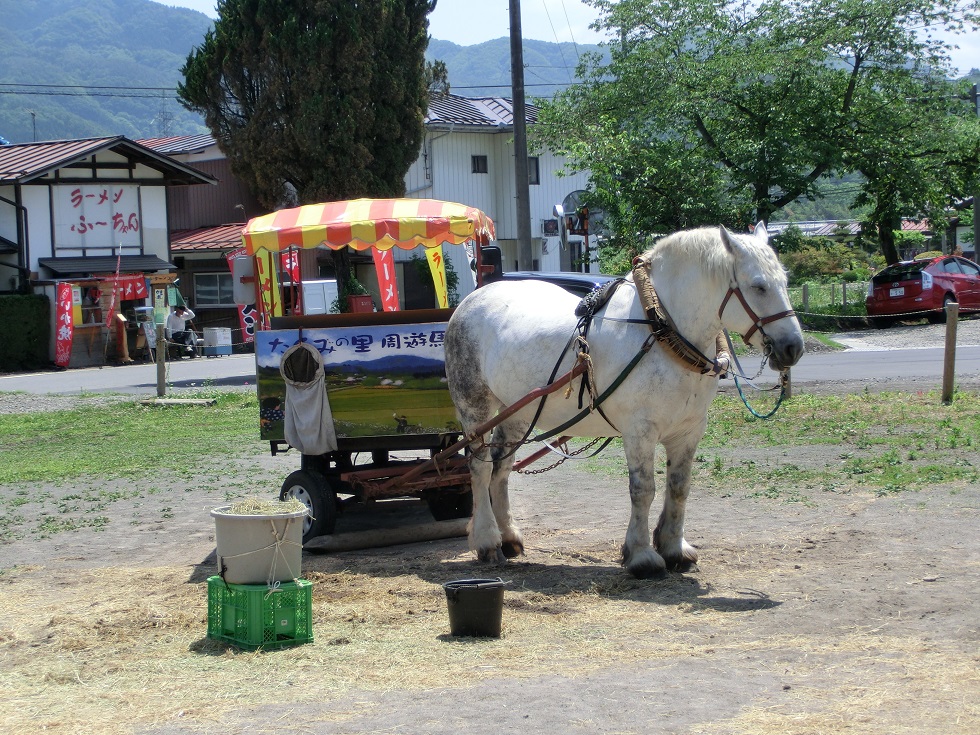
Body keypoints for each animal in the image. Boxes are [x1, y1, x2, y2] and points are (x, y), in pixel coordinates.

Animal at [446, 221, 804, 576]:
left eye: (785, 283)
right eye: (758, 287)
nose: (794, 348)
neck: (661, 330)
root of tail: (468, 302)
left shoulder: (688, 431)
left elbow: (679, 487)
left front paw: (674, 547)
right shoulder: (640, 431)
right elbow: (643, 489)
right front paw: (642, 554)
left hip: (517, 411)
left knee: (502, 467)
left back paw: (508, 537)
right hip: (474, 406)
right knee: (479, 467)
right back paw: (488, 541)